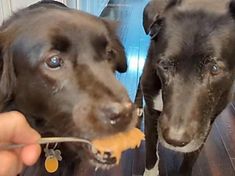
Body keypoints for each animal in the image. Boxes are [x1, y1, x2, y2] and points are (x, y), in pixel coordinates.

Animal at [138, 0, 235, 175]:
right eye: (165, 65)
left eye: (215, 69)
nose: (175, 140)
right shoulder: (151, 112)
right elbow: (150, 151)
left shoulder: (207, 121)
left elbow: (191, 157)